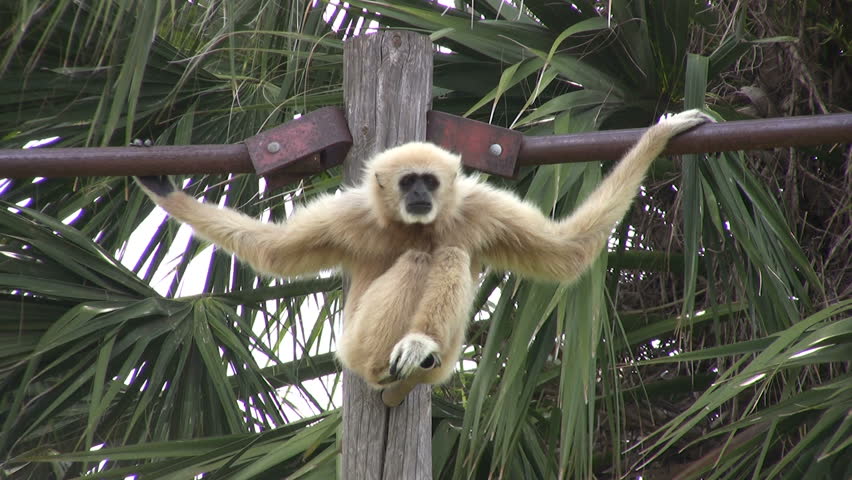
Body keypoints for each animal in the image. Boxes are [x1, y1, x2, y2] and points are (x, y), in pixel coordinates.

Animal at [134, 109, 712, 389]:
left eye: (430, 183)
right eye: (408, 181)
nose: (418, 195)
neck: (415, 224)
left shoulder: (478, 208)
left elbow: (565, 249)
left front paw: (659, 137)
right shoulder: (352, 213)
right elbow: (273, 250)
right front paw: (163, 188)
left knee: (450, 255)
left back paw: (422, 345)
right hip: (356, 348)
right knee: (418, 262)